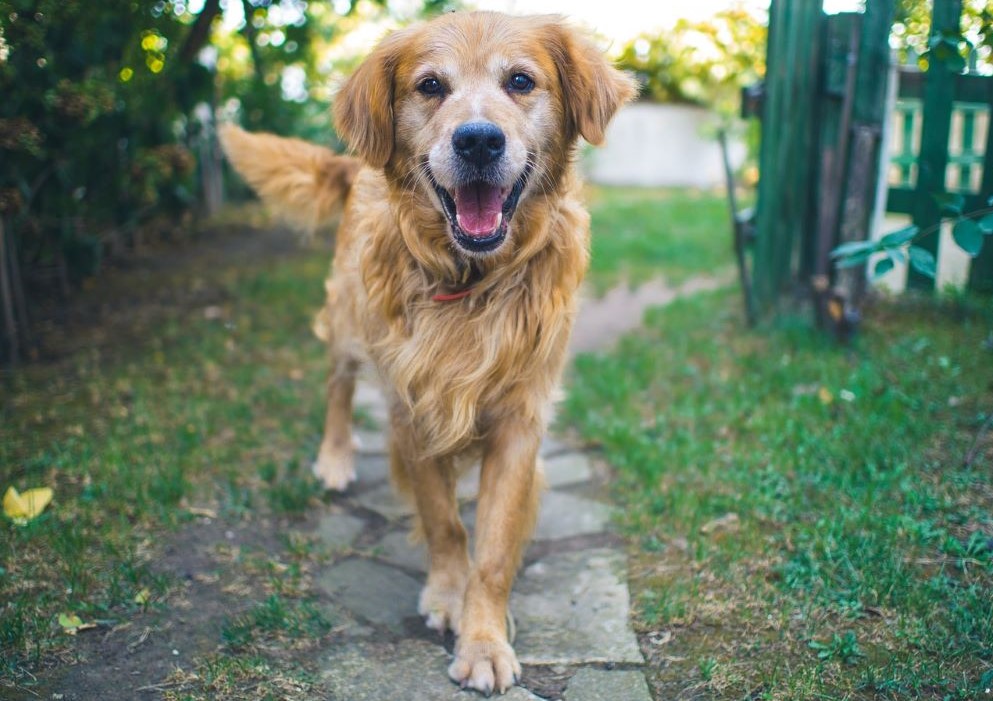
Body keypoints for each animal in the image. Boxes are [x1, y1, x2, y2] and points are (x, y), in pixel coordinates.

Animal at [220, 10, 632, 696]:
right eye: (431, 86)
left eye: (521, 81)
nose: (478, 141)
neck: (472, 281)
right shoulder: (412, 408)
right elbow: (444, 521)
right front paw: (447, 594)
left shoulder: (520, 421)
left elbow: (492, 548)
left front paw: (484, 637)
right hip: (348, 322)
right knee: (337, 385)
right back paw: (335, 457)